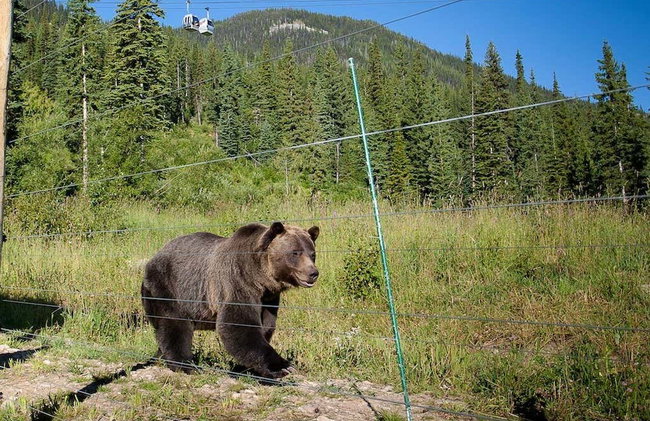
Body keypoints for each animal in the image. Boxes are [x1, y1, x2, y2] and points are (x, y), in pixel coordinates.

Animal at [141, 222, 319, 379]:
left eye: (312, 254)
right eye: (295, 252)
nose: (313, 273)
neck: (260, 277)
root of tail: (154, 257)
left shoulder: (269, 298)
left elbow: (266, 326)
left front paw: (248, 368)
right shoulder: (237, 281)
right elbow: (238, 325)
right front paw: (283, 366)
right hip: (170, 287)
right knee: (174, 324)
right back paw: (185, 365)